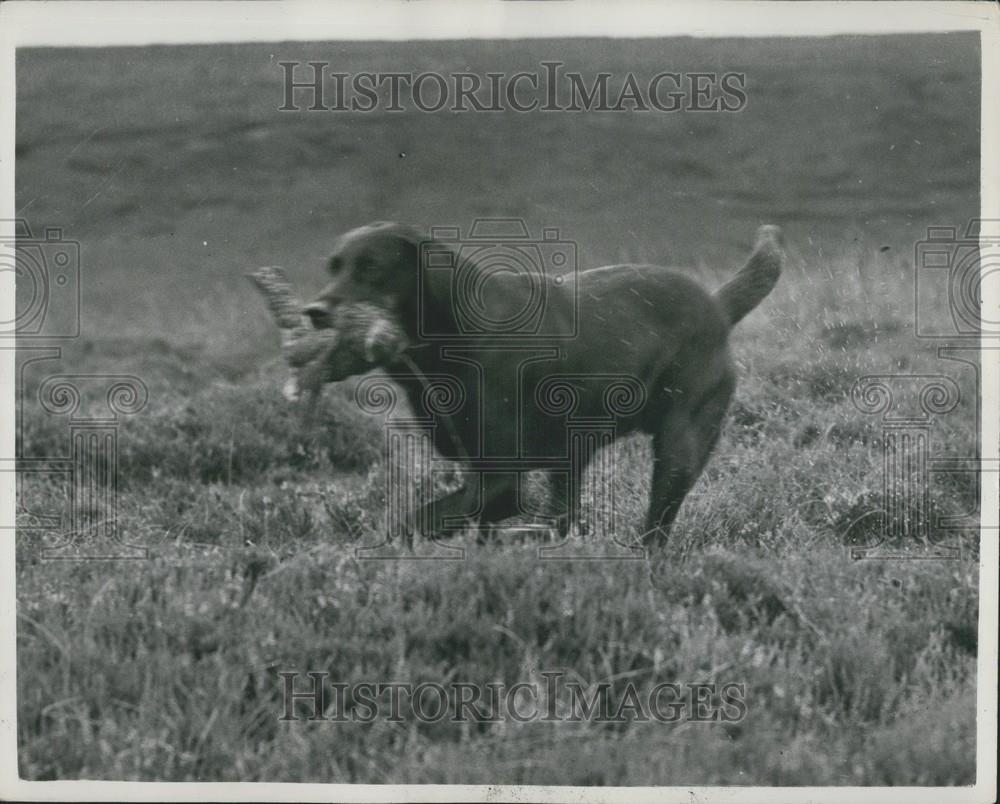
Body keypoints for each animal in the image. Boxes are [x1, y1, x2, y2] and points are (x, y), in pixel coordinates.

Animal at [304, 221, 780, 548]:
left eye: (371, 268)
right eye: (333, 267)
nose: (314, 311)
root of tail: (716, 306)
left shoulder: (499, 482)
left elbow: (412, 522)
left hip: (680, 447)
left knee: (654, 531)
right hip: (571, 456)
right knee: (565, 519)